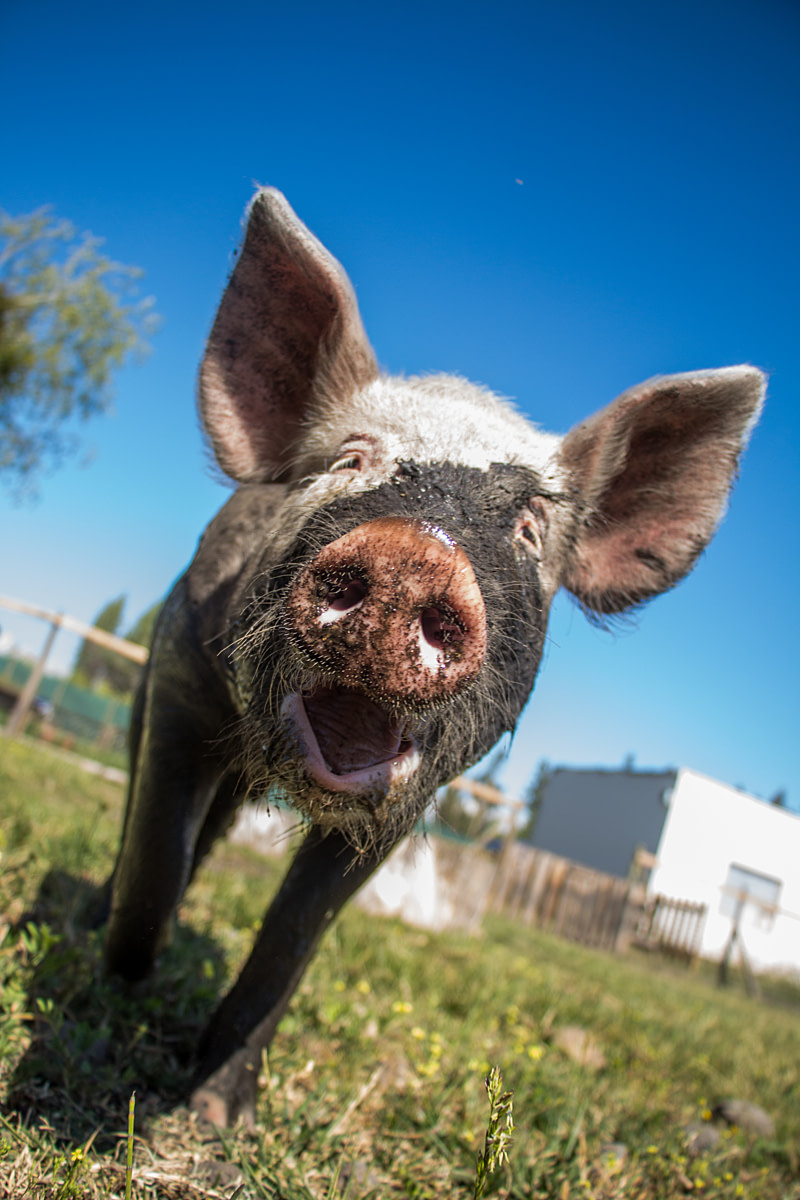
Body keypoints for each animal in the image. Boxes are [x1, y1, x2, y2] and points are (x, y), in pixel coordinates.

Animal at [102, 188, 764, 1127]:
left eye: (529, 524)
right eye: (349, 459)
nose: (416, 553)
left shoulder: (413, 802)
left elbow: (293, 935)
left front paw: (217, 1114)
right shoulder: (181, 678)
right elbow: (157, 857)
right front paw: (117, 994)